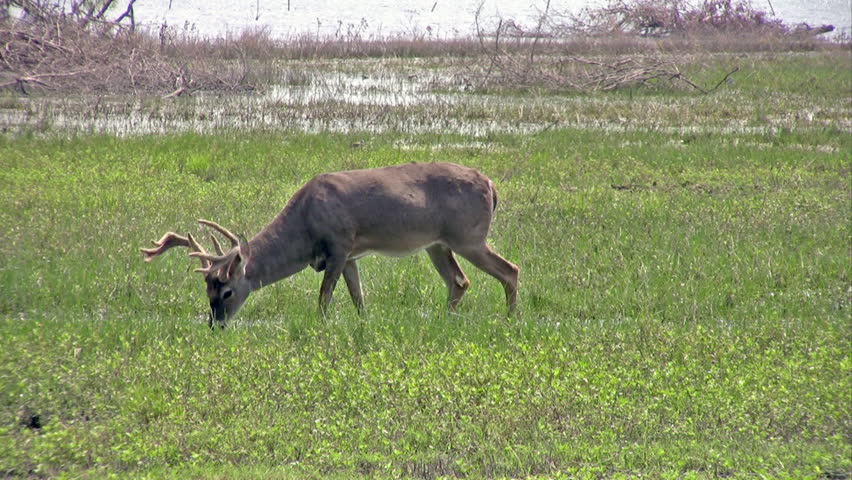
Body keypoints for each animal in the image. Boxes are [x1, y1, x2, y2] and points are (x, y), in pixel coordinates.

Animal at [141, 162, 519, 328]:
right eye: (207, 290)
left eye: (227, 291)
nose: (215, 324)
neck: (305, 223)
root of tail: (491, 186)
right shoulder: (350, 255)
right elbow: (358, 299)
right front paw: (363, 325)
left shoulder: (339, 243)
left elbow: (324, 299)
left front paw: (321, 328)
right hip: (437, 244)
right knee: (459, 281)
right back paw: (445, 321)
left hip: (469, 236)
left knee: (510, 270)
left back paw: (511, 319)